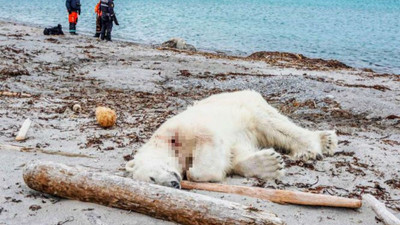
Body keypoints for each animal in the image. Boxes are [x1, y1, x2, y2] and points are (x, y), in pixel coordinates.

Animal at [126, 89, 338, 188]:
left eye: (152, 177)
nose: (174, 184)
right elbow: (234, 155)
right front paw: (270, 163)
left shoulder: (183, 128)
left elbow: (207, 143)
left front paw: (194, 171)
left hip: (248, 107)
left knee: (275, 125)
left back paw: (318, 144)